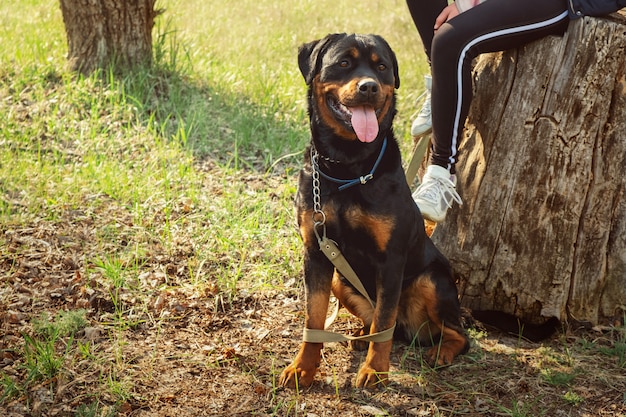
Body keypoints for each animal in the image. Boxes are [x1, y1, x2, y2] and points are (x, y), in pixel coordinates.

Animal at [280, 34, 468, 388]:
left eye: (381, 67)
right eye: (343, 63)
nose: (369, 87)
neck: (347, 163)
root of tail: (410, 328)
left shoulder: (391, 259)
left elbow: (384, 323)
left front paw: (375, 370)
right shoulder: (316, 251)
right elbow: (314, 319)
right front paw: (303, 368)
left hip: (432, 281)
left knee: (458, 334)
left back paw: (441, 352)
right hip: (341, 280)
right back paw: (358, 336)